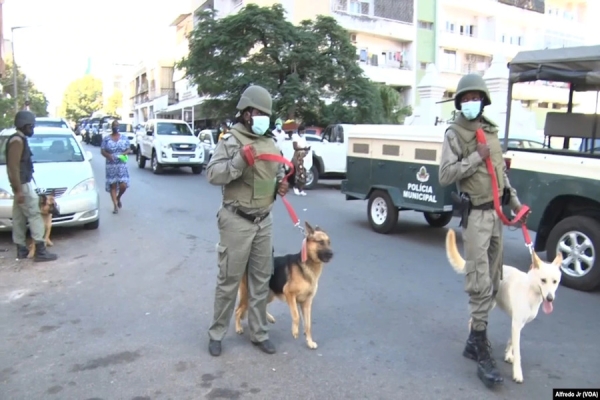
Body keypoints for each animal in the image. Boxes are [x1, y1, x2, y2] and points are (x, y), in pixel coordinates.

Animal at [234, 222, 332, 350]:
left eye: (329, 243)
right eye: (320, 242)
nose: (332, 254)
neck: (306, 265)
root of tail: (248, 264)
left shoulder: (306, 303)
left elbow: (308, 325)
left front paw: (309, 342)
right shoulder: (290, 294)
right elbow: (296, 316)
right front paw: (295, 331)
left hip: (268, 295)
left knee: (259, 307)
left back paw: (268, 318)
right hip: (248, 296)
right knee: (238, 310)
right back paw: (238, 327)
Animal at [446, 228, 564, 382]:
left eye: (555, 281)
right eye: (543, 280)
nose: (550, 299)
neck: (531, 290)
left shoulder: (518, 324)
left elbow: (511, 341)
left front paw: (508, 355)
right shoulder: (517, 323)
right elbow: (518, 352)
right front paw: (517, 373)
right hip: (487, 303)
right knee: (473, 320)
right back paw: (473, 344)